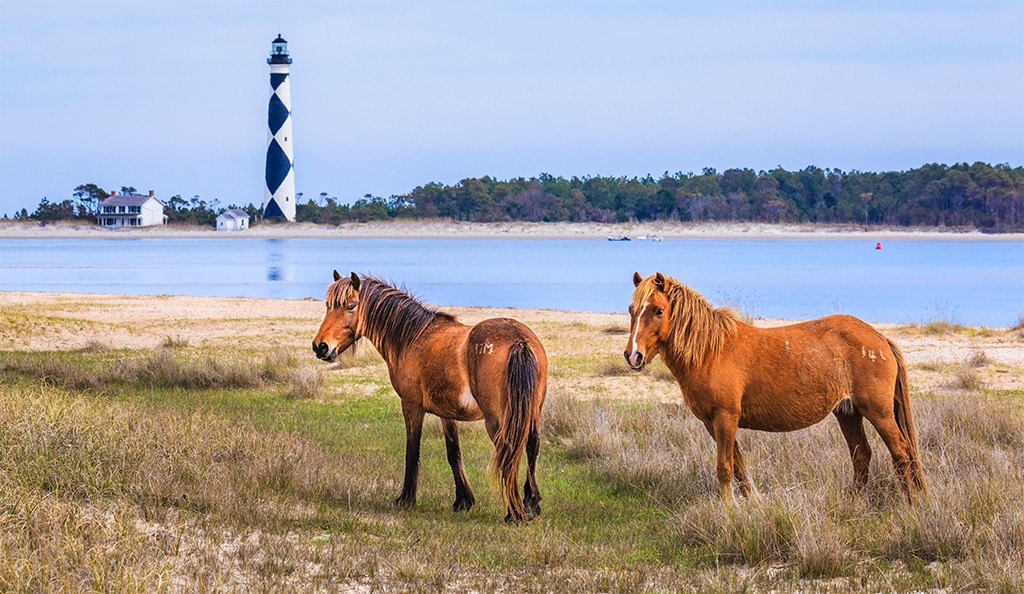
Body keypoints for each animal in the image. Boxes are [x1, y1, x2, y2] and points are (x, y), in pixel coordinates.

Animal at [313, 271, 548, 523]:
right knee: (531, 446)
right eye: (328, 306)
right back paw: (531, 504)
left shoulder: (411, 406)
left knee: (509, 452)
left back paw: (515, 513)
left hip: (498, 419)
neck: (413, 338)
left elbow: (412, 451)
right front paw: (463, 500)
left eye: (351, 305)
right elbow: (454, 453)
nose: (320, 347)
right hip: (531, 413)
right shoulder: (448, 414)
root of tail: (519, 340)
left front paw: (406, 499)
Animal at [624, 272, 925, 503]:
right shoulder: (713, 422)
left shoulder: (725, 418)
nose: (633, 355)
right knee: (862, 454)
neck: (712, 350)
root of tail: (880, 338)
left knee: (901, 452)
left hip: (878, 412)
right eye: (632, 310)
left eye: (658, 310)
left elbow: (725, 467)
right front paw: (752, 502)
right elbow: (738, 465)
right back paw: (856, 502)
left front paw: (728, 510)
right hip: (848, 412)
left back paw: (910, 503)